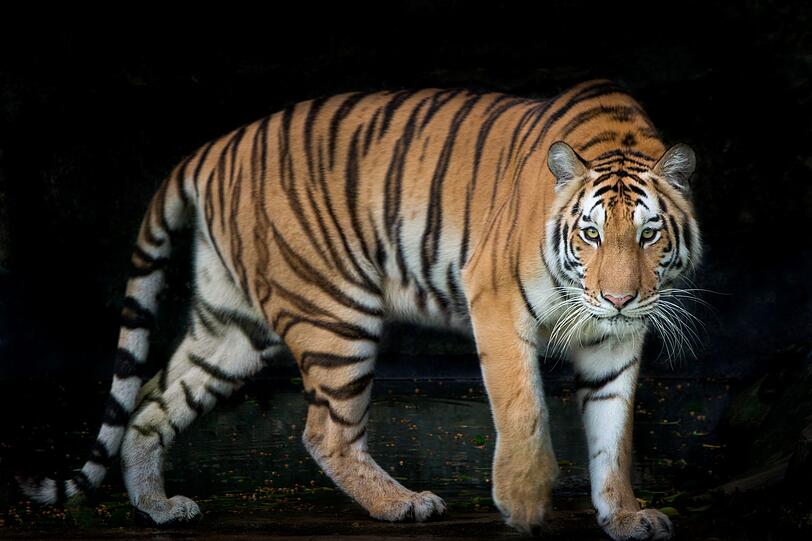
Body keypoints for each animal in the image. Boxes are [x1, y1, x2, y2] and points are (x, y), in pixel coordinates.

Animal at [19, 79, 700, 540]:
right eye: (590, 234)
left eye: (648, 235)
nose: (618, 297)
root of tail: (213, 148)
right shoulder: (497, 304)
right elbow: (524, 410)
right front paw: (525, 504)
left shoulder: (617, 341)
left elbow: (614, 431)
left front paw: (624, 516)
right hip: (335, 313)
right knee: (324, 433)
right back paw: (402, 504)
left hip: (231, 328)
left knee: (151, 402)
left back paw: (159, 508)